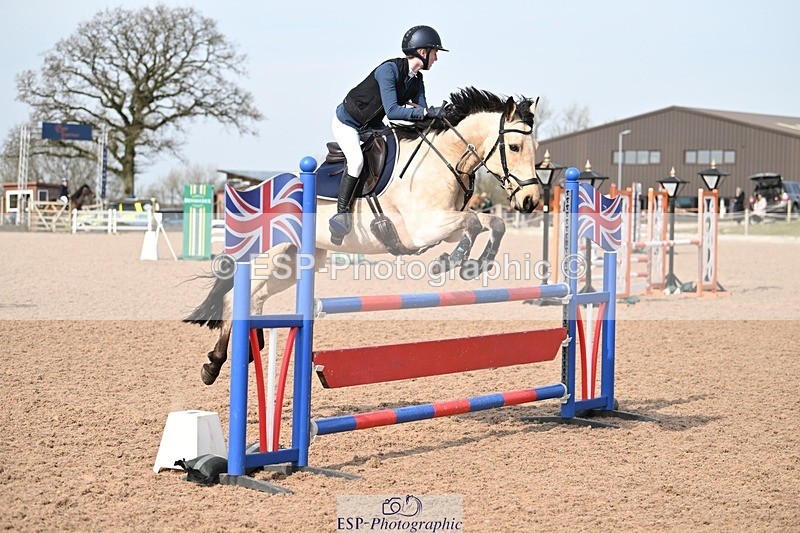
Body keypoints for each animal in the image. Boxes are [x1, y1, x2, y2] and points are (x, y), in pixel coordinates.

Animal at [186, 87, 542, 385]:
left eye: (535, 148)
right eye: (514, 147)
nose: (530, 201)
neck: (444, 158)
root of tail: (256, 192)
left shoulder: (443, 226)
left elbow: (492, 224)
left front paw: (474, 264)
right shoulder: (423, 227)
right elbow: (473, 223)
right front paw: (450, 263)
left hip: (293, 262)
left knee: (255, 298)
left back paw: (244, 354)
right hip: (270, 256)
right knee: (234, 298)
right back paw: (214, 364)